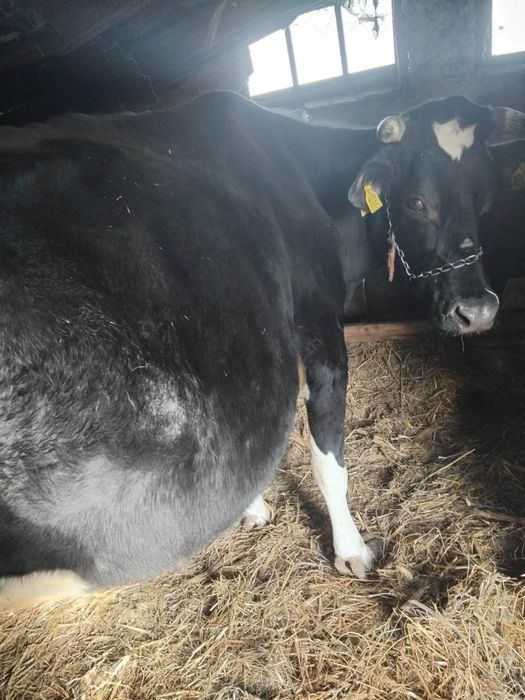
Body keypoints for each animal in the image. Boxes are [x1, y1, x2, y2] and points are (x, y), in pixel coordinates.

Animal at [0, 92, 523, 606]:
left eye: (489, 197)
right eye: (416, 201)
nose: (477, 310)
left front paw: (252, 507)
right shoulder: (320, 329)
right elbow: (329, 460)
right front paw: (351, 551)